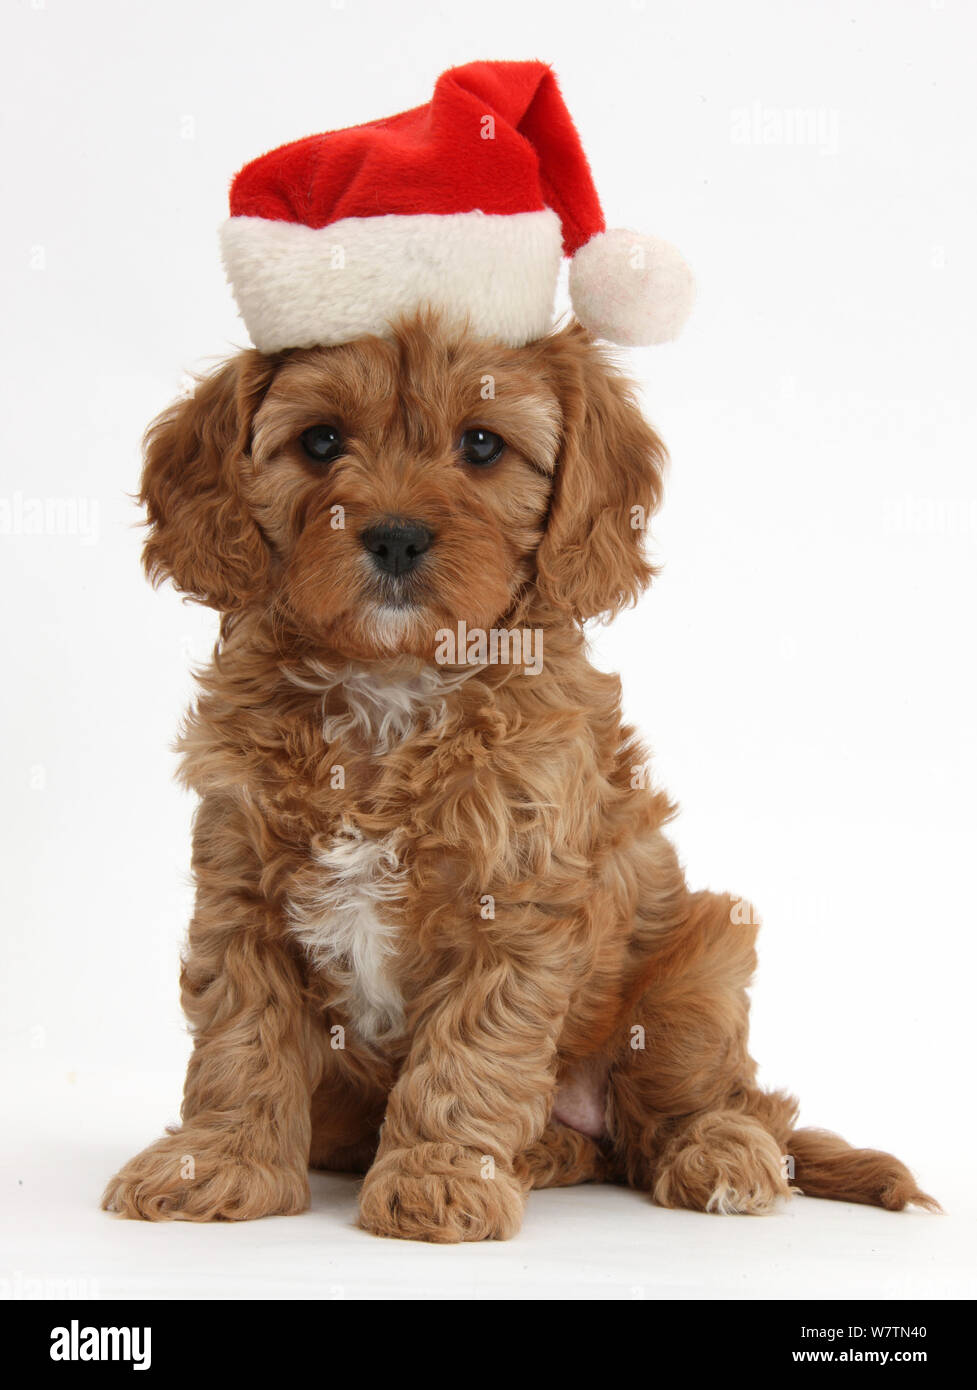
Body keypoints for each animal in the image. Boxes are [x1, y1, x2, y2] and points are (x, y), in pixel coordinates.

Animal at [101, 315, 939, 1239]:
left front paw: (439, 1176)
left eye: (481, 444)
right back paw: (543, 1154)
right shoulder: (241, 892)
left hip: (700, 965)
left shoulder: (515, 904)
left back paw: (719, 1156)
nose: (395, 536)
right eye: (319, 441)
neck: (391, 686)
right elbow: (240, 1038)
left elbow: (469, 1053)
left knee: (712, 1107)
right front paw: (217, 1165)